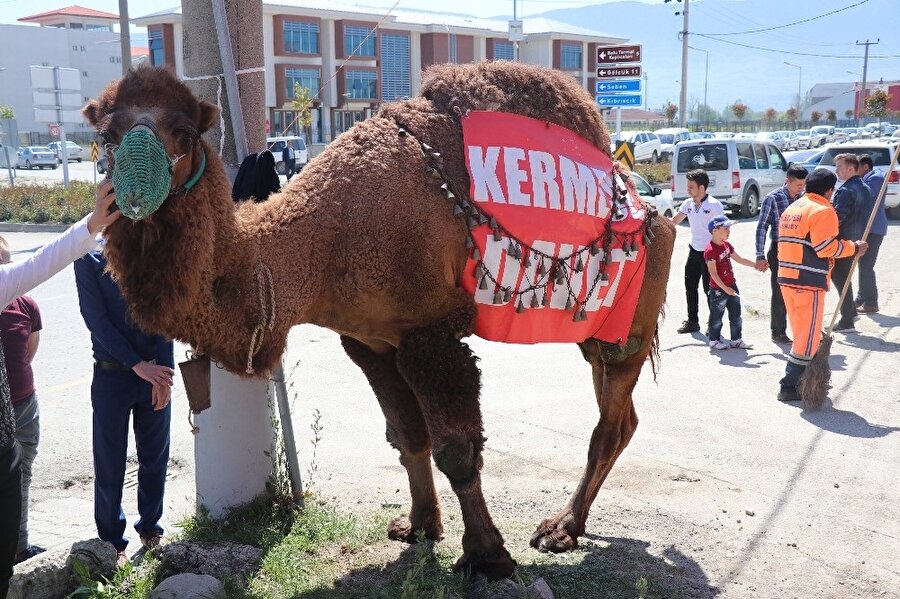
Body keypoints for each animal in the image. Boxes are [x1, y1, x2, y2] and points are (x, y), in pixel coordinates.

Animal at [86, 62, 676, 580]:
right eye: (106, 136)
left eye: (184, 131)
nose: (133, 192)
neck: (319, 244)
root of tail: (653, 208)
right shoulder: (369, 341)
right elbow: (407, 436)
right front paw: (419, 527)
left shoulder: (429, 333)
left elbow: (457, 451)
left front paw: (487, 557)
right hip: (595, 331)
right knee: (622, 417)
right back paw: (566, 523)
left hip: (625, 324)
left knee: (609, 423)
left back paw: (560, 529)